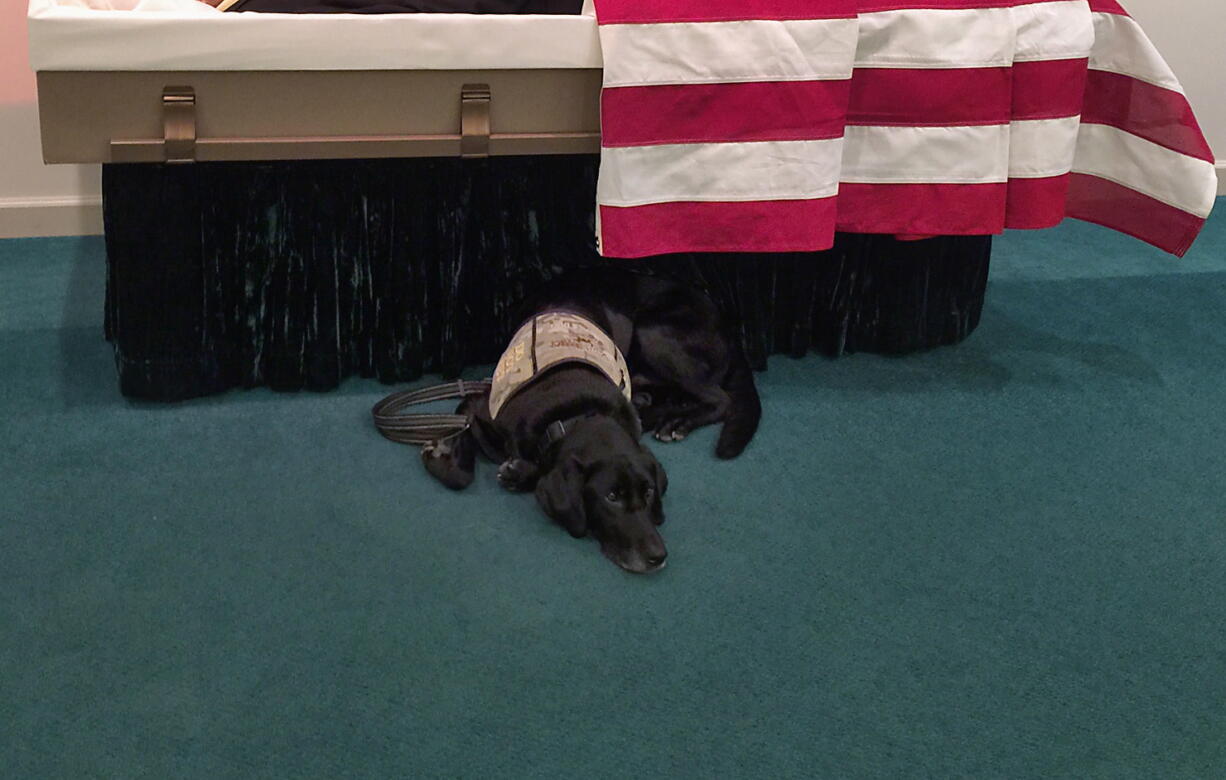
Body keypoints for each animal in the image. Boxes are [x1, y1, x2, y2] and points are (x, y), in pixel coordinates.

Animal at [426, 269, 760, 573]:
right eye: (611, 497)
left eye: (648, 492)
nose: (657, 557)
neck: (579, 411)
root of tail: (730, 329)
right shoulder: (480, 403)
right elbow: (463, 451)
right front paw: (444, 454)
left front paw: (519, 473)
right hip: (650, 338)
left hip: (654, 333)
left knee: (719, 398)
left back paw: (675, 423)